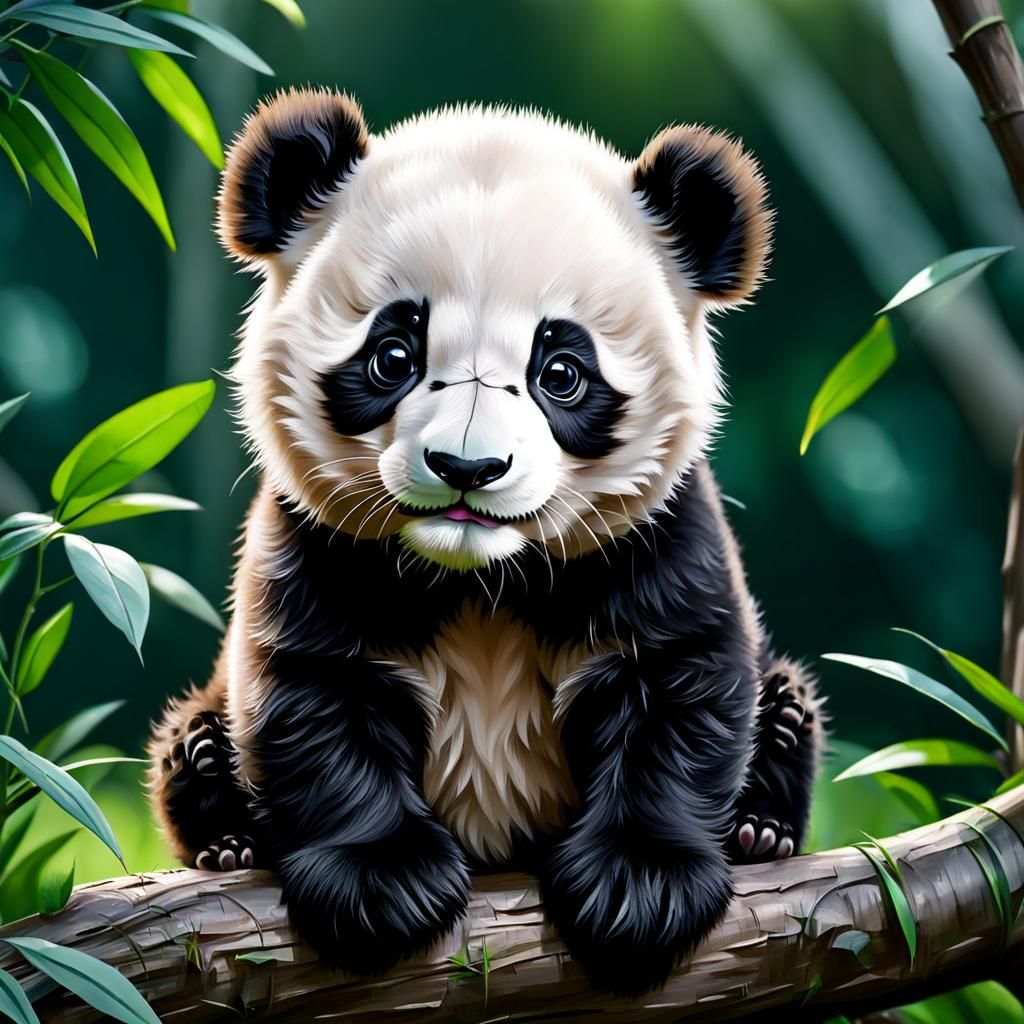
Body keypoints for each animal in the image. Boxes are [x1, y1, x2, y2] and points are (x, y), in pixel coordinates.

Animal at [149, 88, 823, 996]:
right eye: (393, 354)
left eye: (561, 371)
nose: (467, 467)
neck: (479, 579)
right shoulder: (315, 542)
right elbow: (316, 698)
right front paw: (384, 883)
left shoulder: (658, 538)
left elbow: (678, 689)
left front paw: (638, 888)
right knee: (193, 737)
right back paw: (227, 831)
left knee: (783, 702)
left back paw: (762, 826)